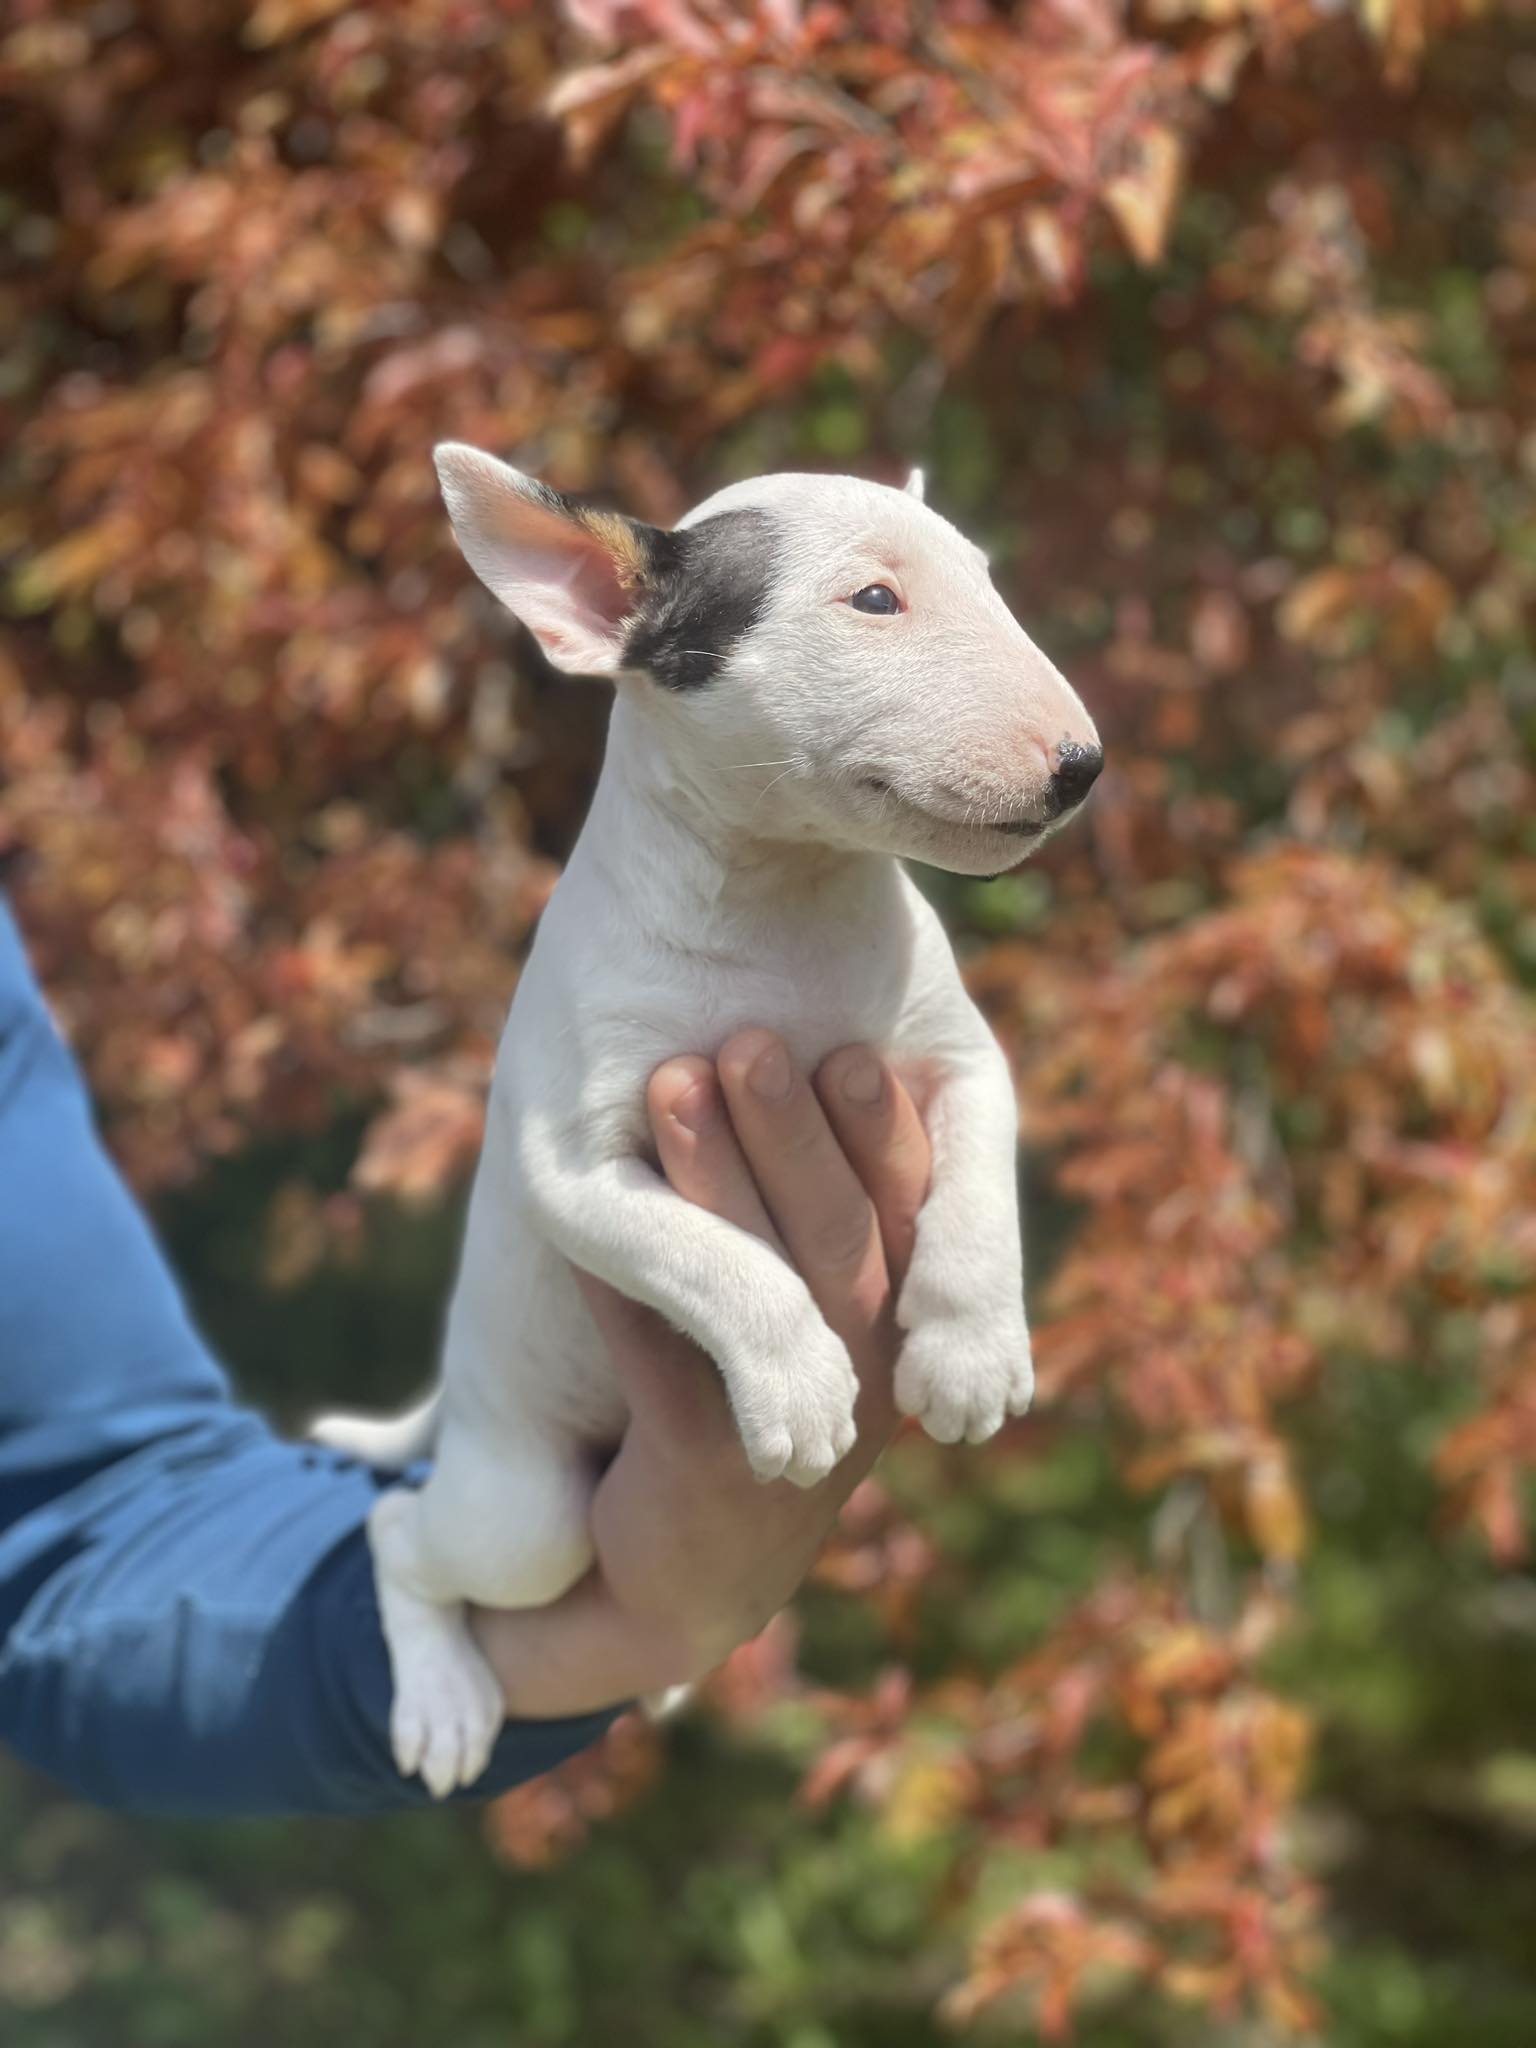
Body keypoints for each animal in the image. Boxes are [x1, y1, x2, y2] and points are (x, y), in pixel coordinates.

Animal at [313, 448, 1105, 1794]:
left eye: (988, 581)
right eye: (875, 599)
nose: (1081, 763)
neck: (781, 897)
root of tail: (457, 1409)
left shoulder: (962, 1060)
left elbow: (978, 1188)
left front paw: (971, 1351)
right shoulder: (571, 1168)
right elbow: (721, 1258)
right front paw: (799, 1387)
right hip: (522, 1510)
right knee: (400, 1530)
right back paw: (442, 1694)